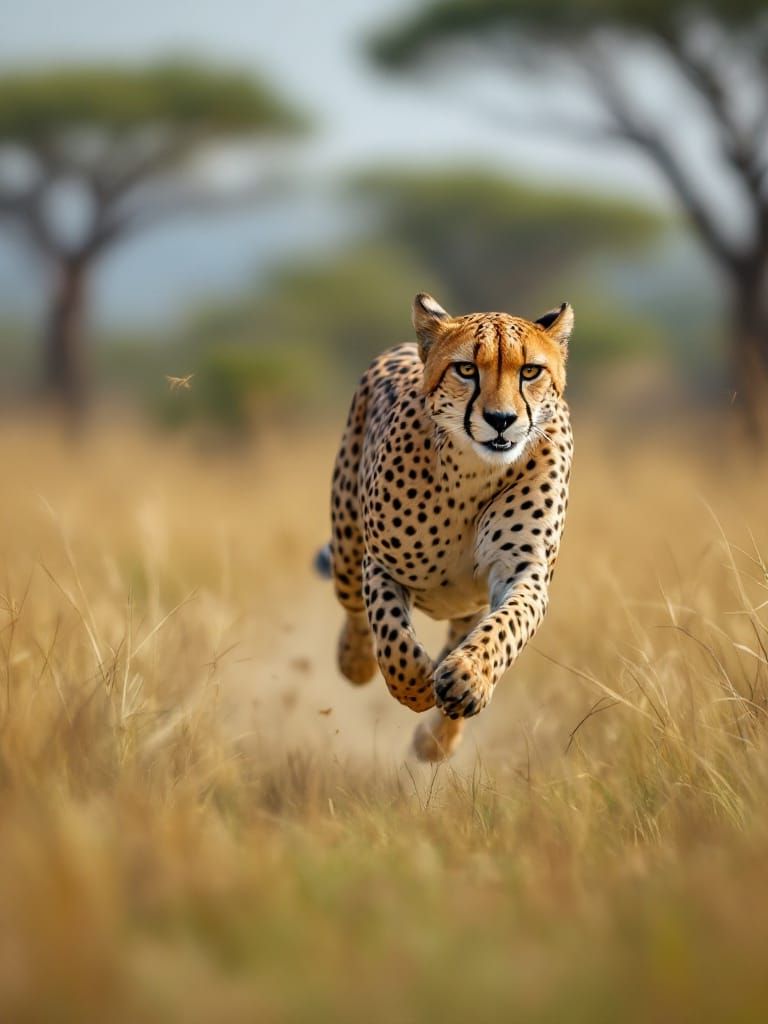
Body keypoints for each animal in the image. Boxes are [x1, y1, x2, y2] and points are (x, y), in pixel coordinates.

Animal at [318, 293, 574, 762]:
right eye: (466, 369)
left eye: (530, 371)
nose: (501, 419)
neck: (474, 471)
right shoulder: (381, 565)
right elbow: (392, 637)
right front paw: (415, 685)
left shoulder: (522, 571)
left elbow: (506, 626)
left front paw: (466, 677)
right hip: (346, 548)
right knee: (354, 609)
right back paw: (355, 662)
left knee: (463, 630)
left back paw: (436, 739)